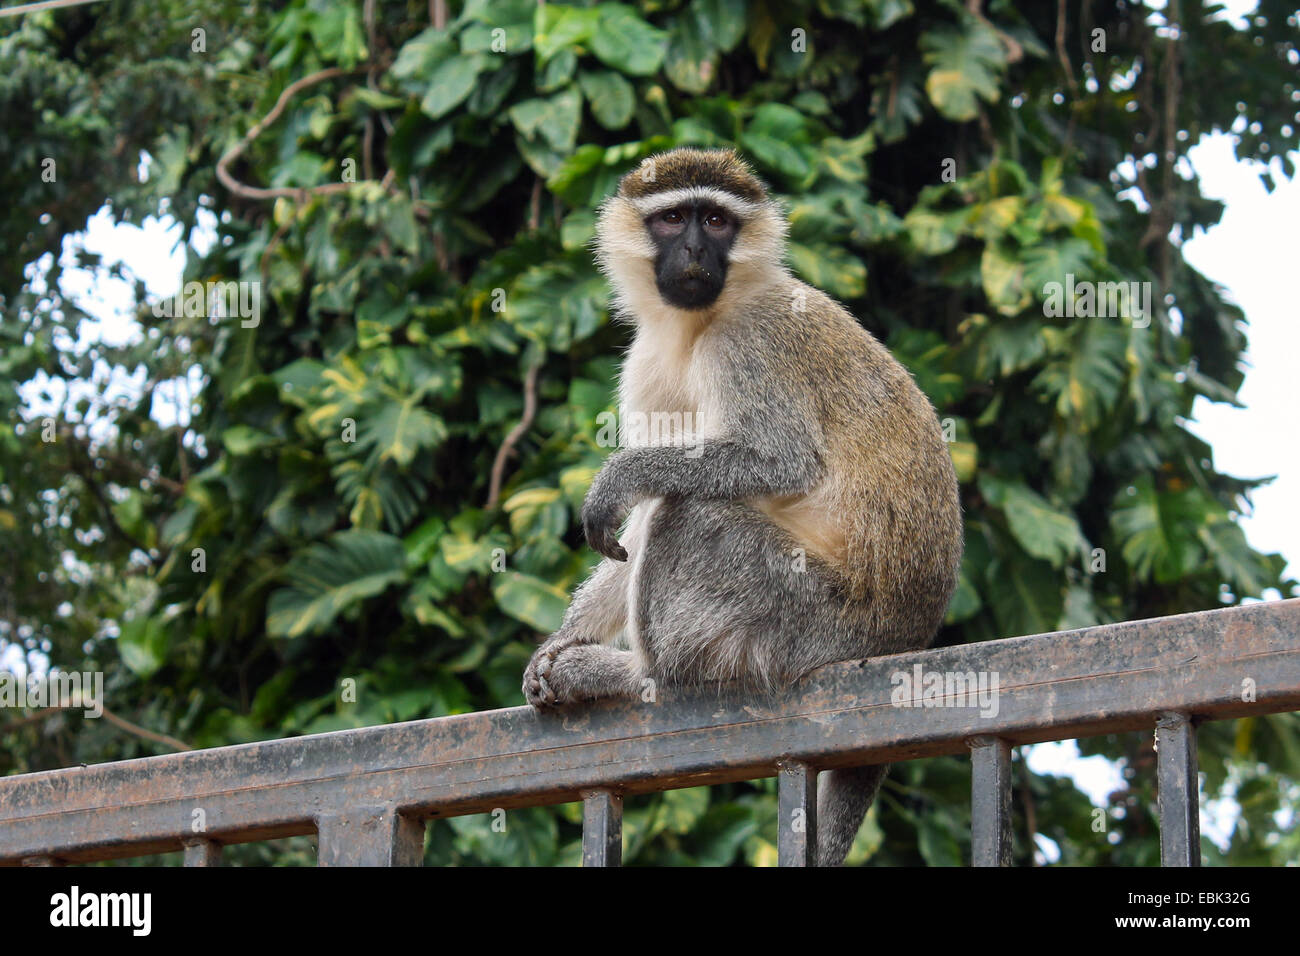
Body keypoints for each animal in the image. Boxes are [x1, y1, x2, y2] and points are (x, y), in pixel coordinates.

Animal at [520, 147, 967, 868]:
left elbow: (781, 462)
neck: (700, 322)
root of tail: (904, 635)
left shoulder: (750, 338)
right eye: (673, 219)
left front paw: (620, 479)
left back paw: (635, 674)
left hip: (809, 618)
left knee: (689, 513)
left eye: (715, 221)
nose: (695, 250)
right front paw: (564, 637)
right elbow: (633, 531)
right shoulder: (647, 359)